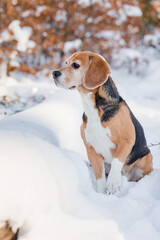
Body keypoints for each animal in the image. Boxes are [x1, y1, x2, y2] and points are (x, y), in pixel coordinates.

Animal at [52, 51, 152, 194]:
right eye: (66, 63)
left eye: (75, 65)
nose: (54, 73)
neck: (95, 109)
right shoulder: (91, 149)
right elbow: (99, 176)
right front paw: (100, 194)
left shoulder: (127, 141)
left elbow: (116, 161)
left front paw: (113, 184)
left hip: (145, 160)